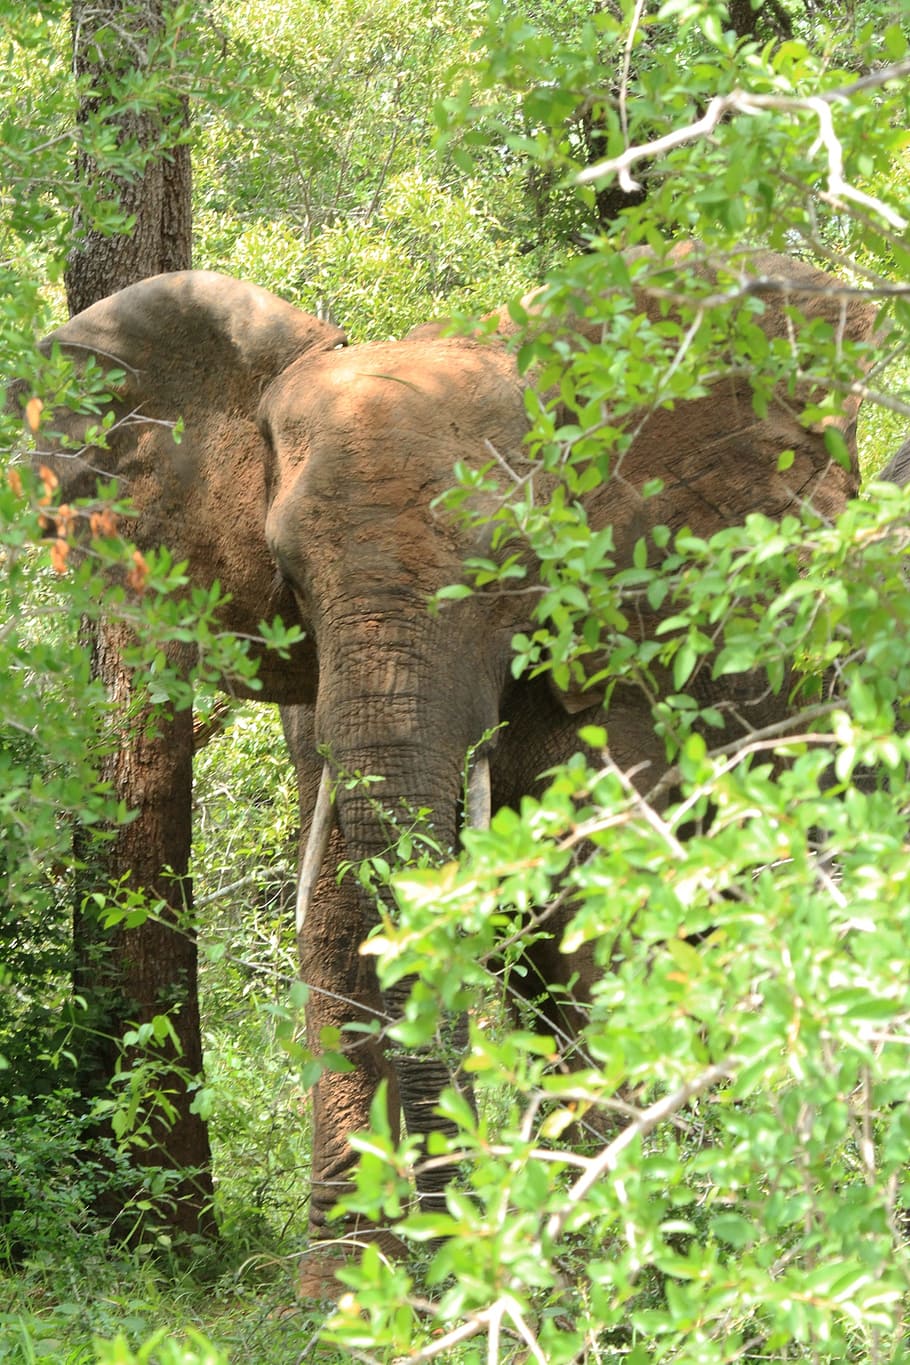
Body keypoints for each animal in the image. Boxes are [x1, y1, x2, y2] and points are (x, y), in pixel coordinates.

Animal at [14, 251, 878, 1294]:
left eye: (516, 567)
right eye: (287, 572)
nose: (450, 1234)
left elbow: (587, 903)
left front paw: (586, 1273)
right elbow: (340, 912)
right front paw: (346, 1289)